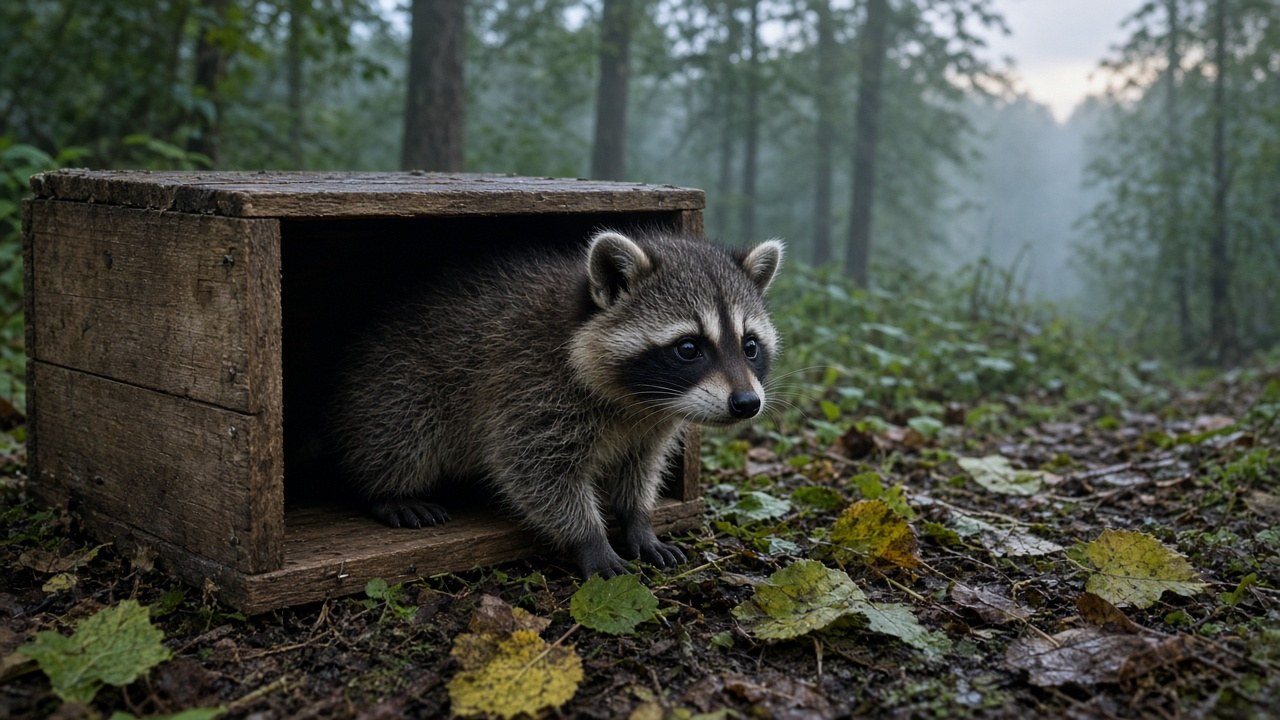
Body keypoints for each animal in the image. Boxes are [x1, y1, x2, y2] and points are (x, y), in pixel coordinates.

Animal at [332, 228, 783, 578]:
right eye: (689, 348)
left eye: (750, 346)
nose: (746, 403)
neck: (635, 401)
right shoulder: (530, 386)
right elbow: (535, 470)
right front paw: (591, 538)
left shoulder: (649, 426)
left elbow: (639, 468)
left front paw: (638, 519)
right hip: (395, 383)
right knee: (403, 434)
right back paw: (386, 490)